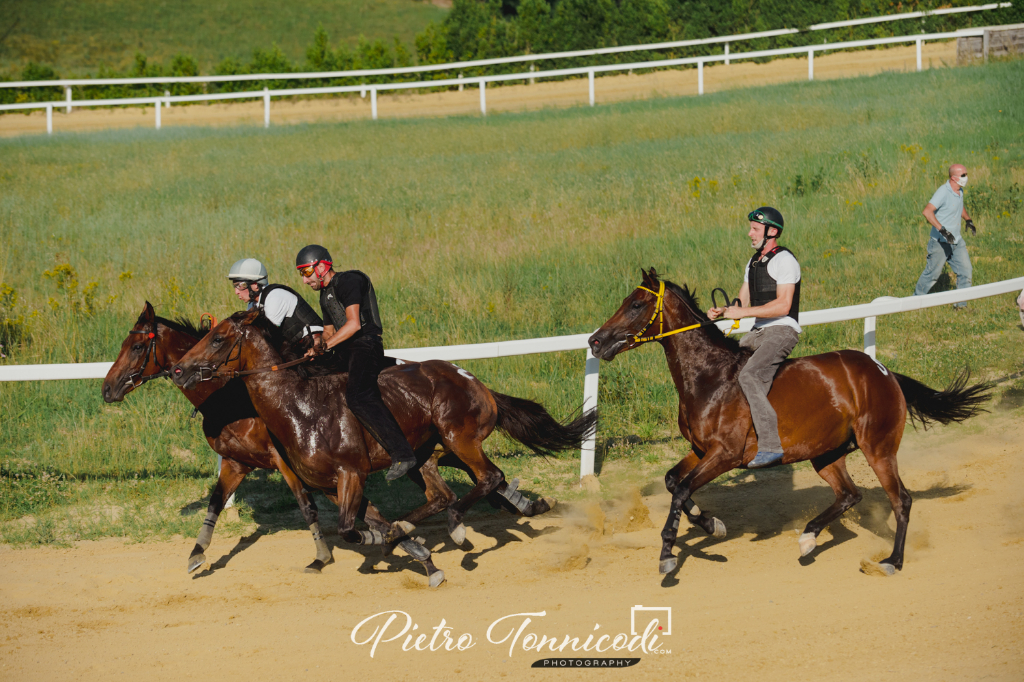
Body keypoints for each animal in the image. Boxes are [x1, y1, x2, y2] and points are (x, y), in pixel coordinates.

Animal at [593, 268, 991, 577]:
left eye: (636, 304)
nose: (595, 341)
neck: (710, 377)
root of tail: (883, 371)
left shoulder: (725, 454)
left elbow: (680, 491)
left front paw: (668, 554)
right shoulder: (701, 450)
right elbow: (674, 482)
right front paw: (712, 524)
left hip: (877, 447)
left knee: (901, 500)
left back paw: (892, 560)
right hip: (826, 453)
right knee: (850, 494)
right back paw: (808, 536)